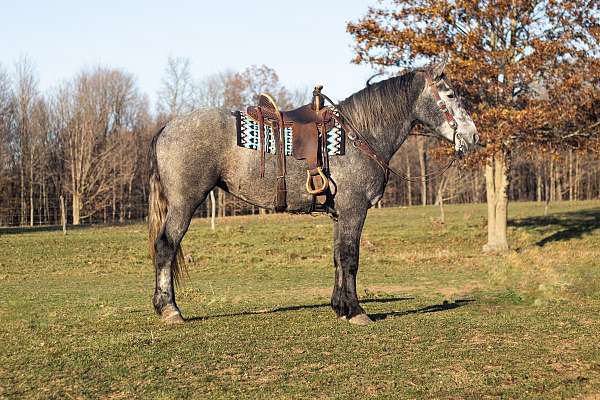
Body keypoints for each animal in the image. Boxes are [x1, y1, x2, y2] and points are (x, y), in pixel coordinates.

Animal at [149, 61, 478, 326]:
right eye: (450, 95)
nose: (473, 136)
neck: (360, 135)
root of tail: (167, 127)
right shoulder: (354, 210)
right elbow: (350, 257)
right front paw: (356, 311)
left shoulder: (339, 215)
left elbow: (337, 257)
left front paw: (340, 307)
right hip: (185, 203)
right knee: (166, 246)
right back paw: (170, 309)